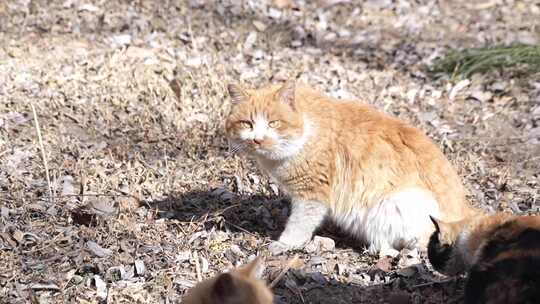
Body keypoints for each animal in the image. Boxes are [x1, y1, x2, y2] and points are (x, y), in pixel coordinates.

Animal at [226, 79, 478, 255]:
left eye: (273, 123)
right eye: (247, 123)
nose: (257, 140)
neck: (308, 127)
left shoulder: (311, 194)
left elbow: (299, 224)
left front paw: (284, 244)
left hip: (398, 202)